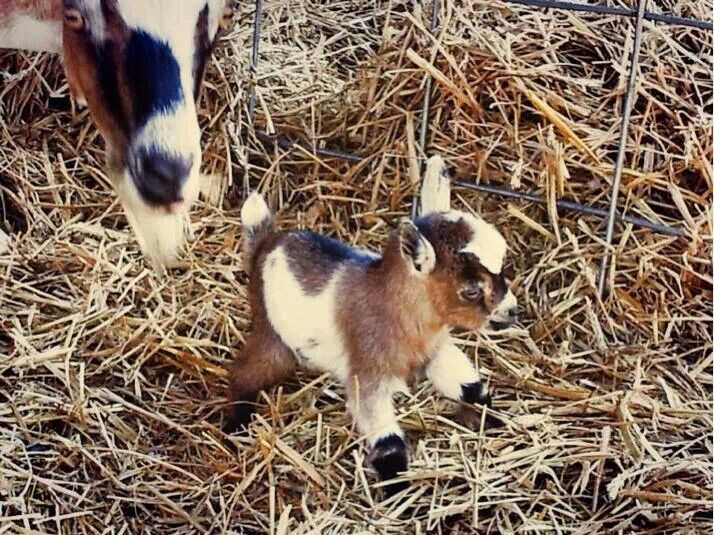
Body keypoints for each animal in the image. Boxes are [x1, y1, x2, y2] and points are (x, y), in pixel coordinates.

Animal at [228, 157, 516, 496]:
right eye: (470, 290)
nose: (512, 312)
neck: (393, 308)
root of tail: (263, 244)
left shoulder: (435, 351)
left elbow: (470, 388)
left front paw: (495, 421)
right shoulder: (367, 370)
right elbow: (387, 441)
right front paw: (397, 492)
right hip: (271, 332)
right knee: (246, 372)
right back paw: (235, 423)